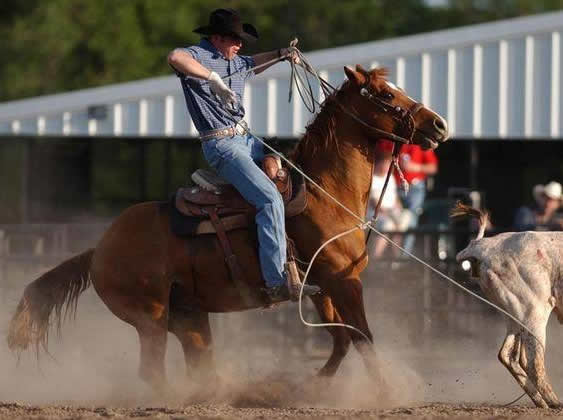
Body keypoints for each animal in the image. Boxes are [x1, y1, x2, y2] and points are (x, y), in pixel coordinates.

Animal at [7, 65, 450, 394]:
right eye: (386, 95)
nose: (440, 124)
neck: (324, 192)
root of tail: (99, 248)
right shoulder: (344, 282)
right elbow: (362, 337)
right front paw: (387, 392)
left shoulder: (324, 286)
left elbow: (342, 339)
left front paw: (312, 386)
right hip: (150, 316)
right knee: (153, 370)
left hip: (188, 315)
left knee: (199, 360)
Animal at [454, 203, 563, 406]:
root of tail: (483, 247)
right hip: (534, 310)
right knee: (534, 363)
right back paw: (554, 402)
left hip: (513, 312)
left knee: (508, 355)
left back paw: (541, 402)